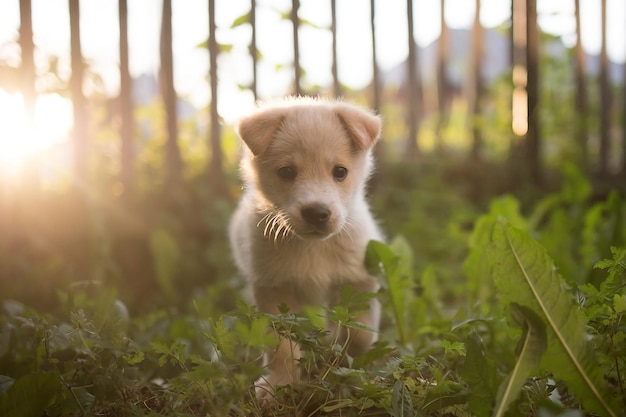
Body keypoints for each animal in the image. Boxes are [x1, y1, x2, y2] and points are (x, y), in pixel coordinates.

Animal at [229, 96, 382, 400]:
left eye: (340, 172)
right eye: (287, 172)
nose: (317, 213)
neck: (314, 248)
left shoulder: (359, 280)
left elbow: (359, 332)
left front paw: (346, 360)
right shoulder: (274, 289)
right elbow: (281, 346)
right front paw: (278, 384)